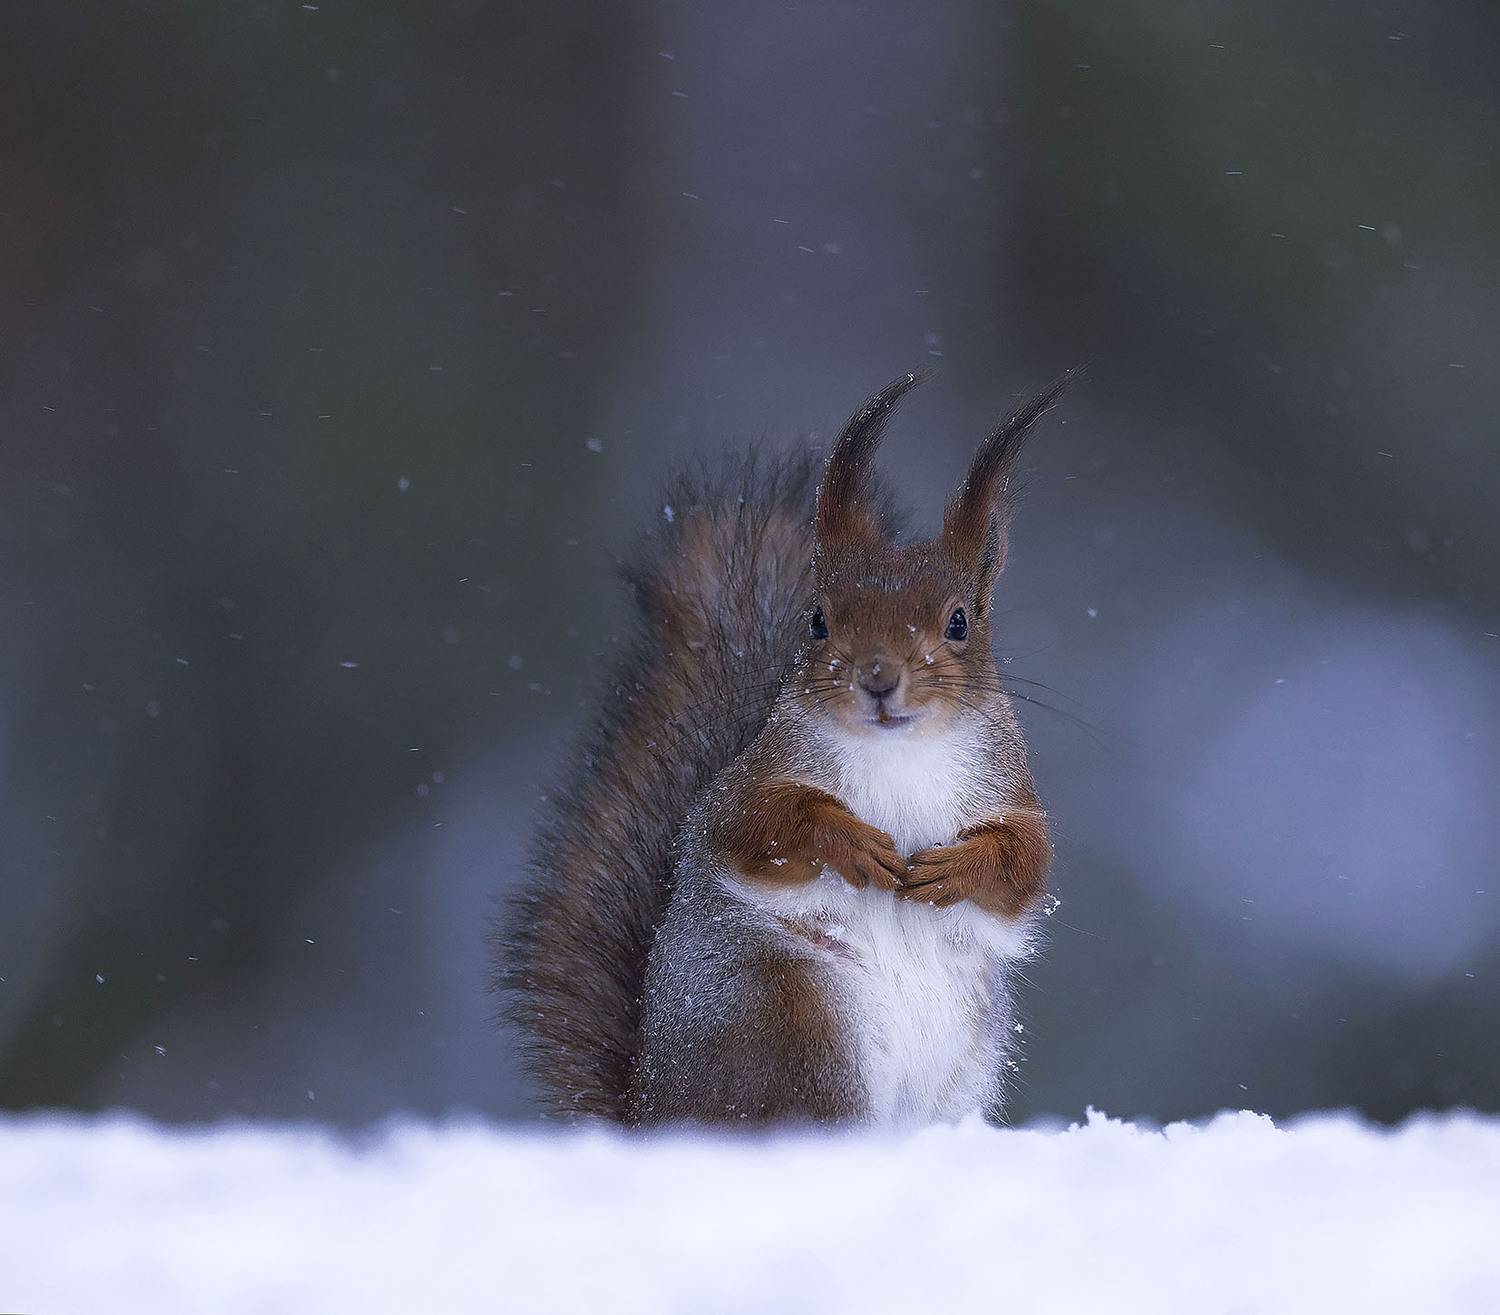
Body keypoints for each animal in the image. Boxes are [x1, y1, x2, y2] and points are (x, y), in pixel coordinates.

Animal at [501, 370, 1071, 1127]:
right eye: (819, 619)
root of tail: (653, 1114)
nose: (878, 677)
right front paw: (851, 842)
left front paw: (955, 867)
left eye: (958, 622)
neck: (898, 752)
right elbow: (756, 825)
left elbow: (1025, 863)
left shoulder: (1010, 790)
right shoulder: (751, 780)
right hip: (798, 1026)